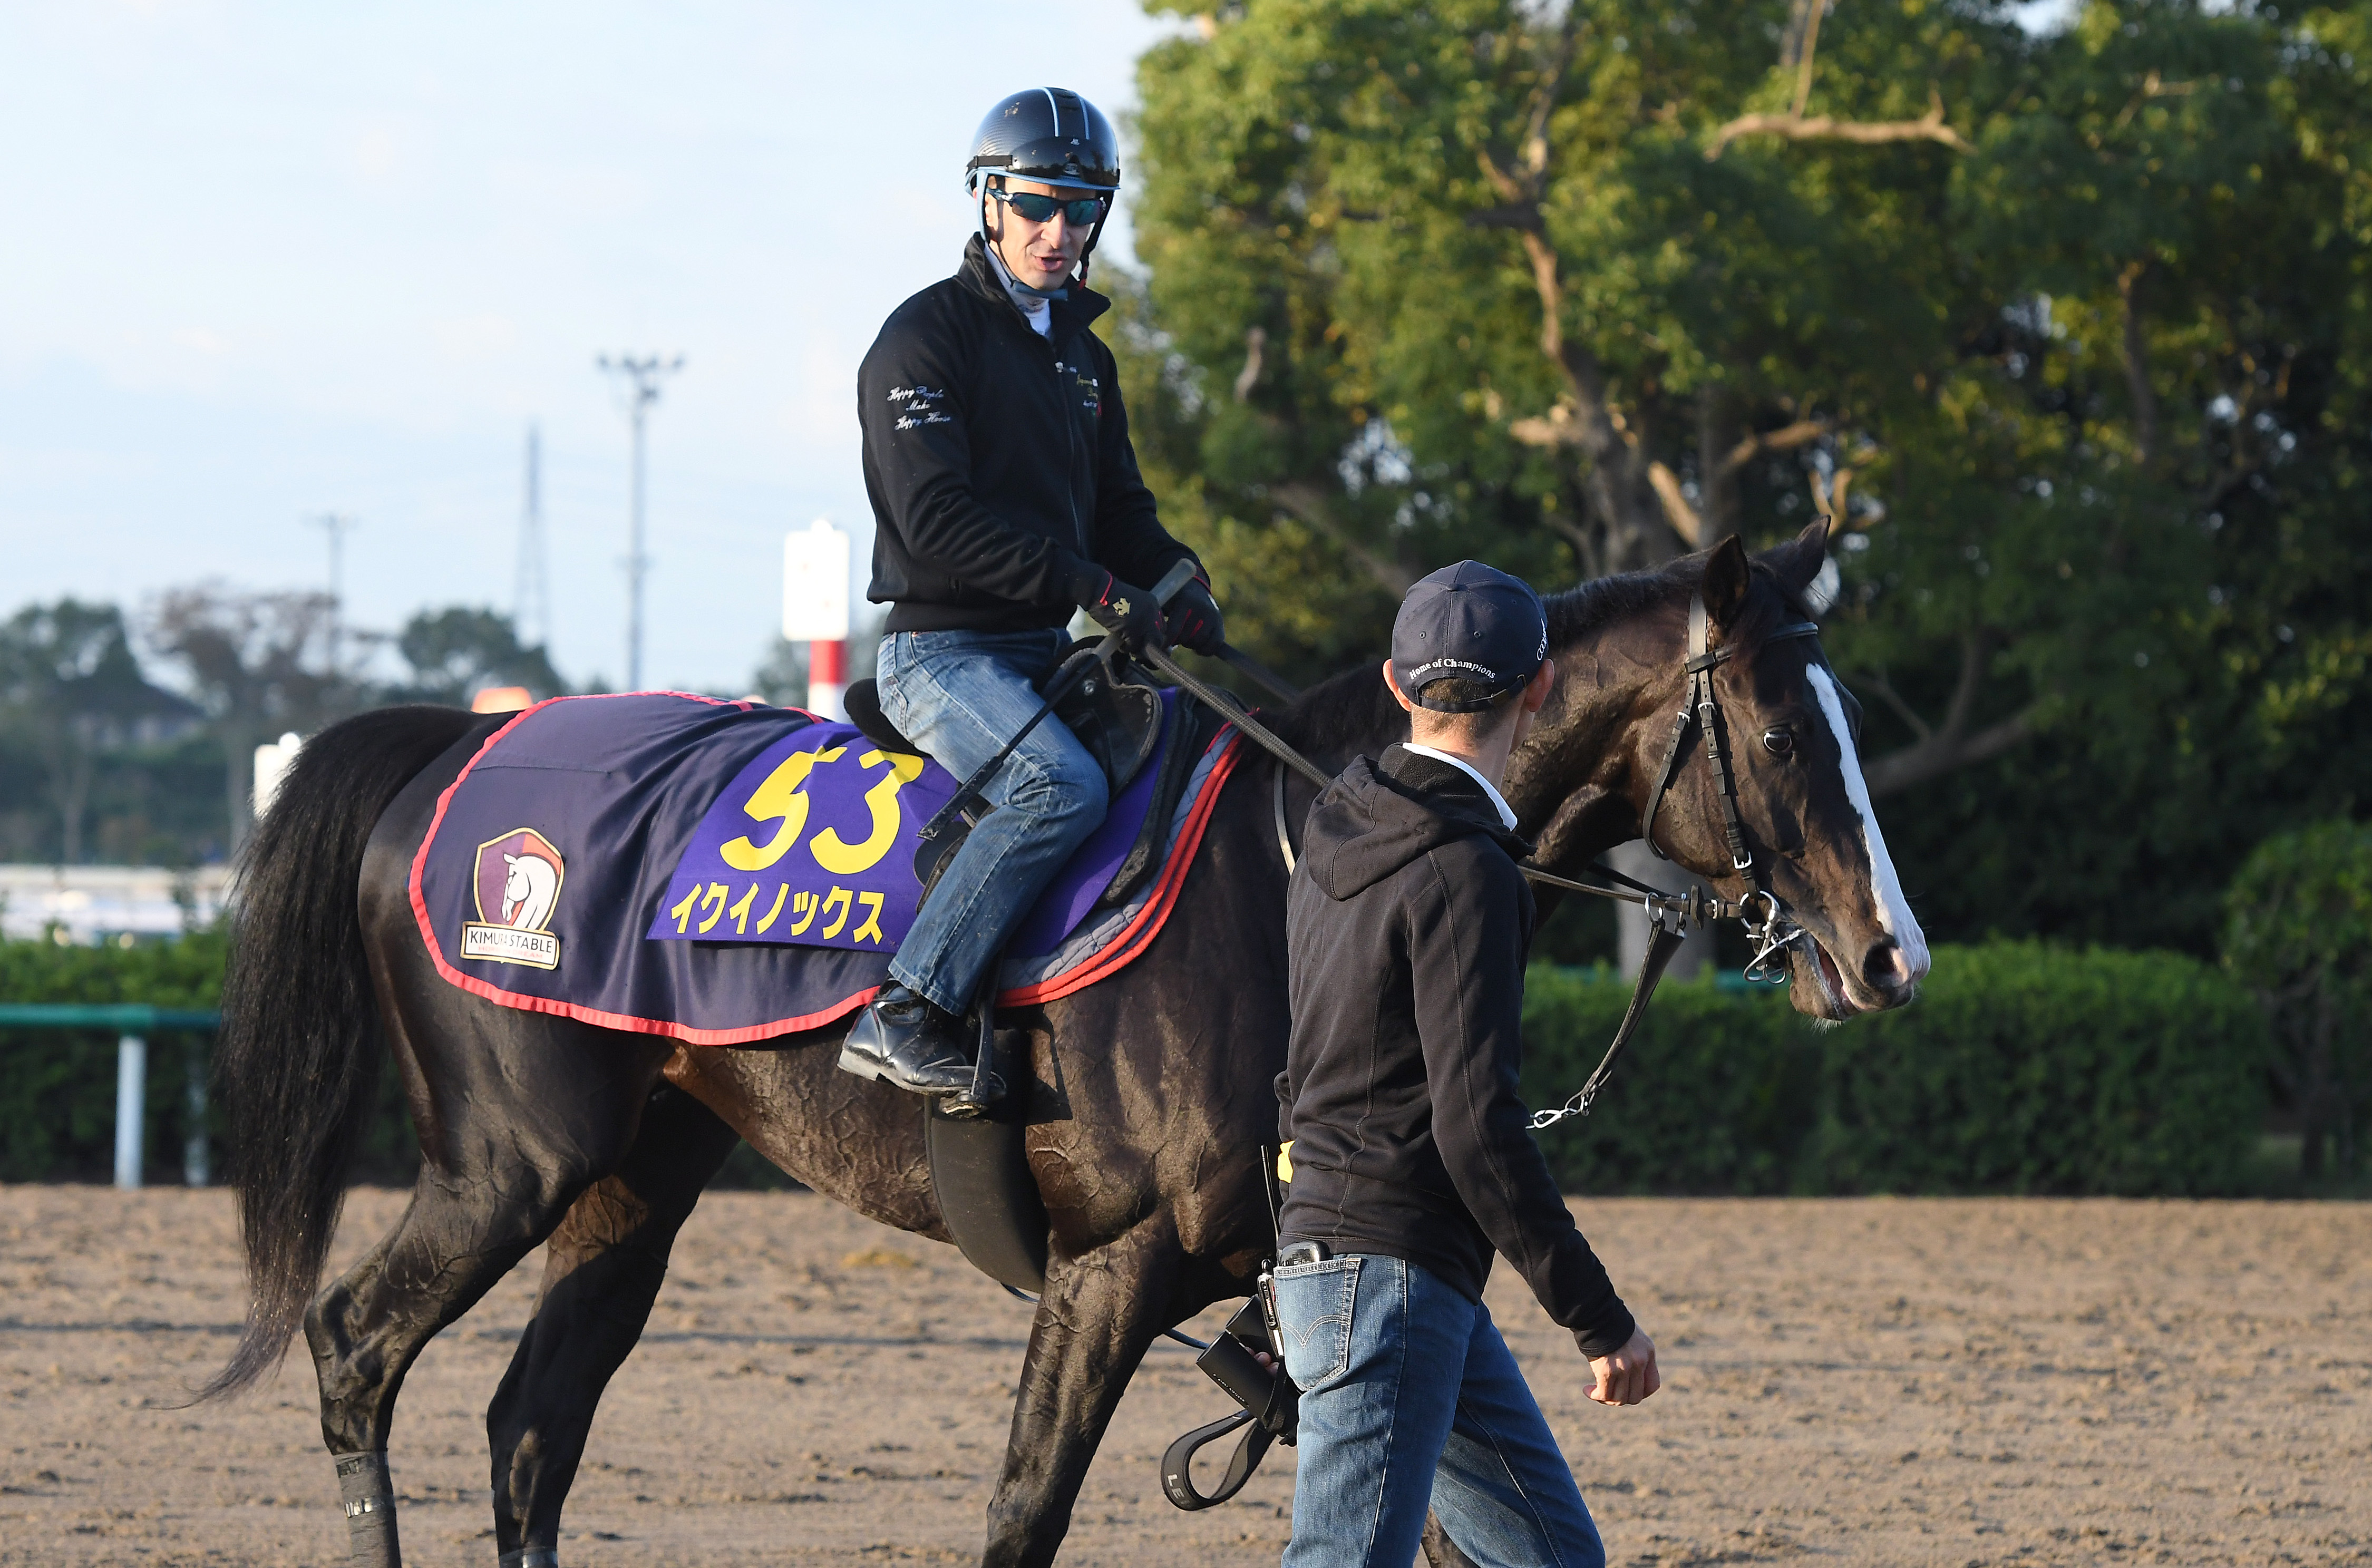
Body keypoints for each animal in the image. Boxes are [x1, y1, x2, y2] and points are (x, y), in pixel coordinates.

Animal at [204, 519, 1926, 1556]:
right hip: (512, 1159)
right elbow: (1023, 1512)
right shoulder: (1108, 1268)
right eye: (1784, 732)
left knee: (529, 1429)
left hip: (637, 1178)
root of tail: (460, 751)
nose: (1888, 957)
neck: (1295, 859)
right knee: (357, 1347)